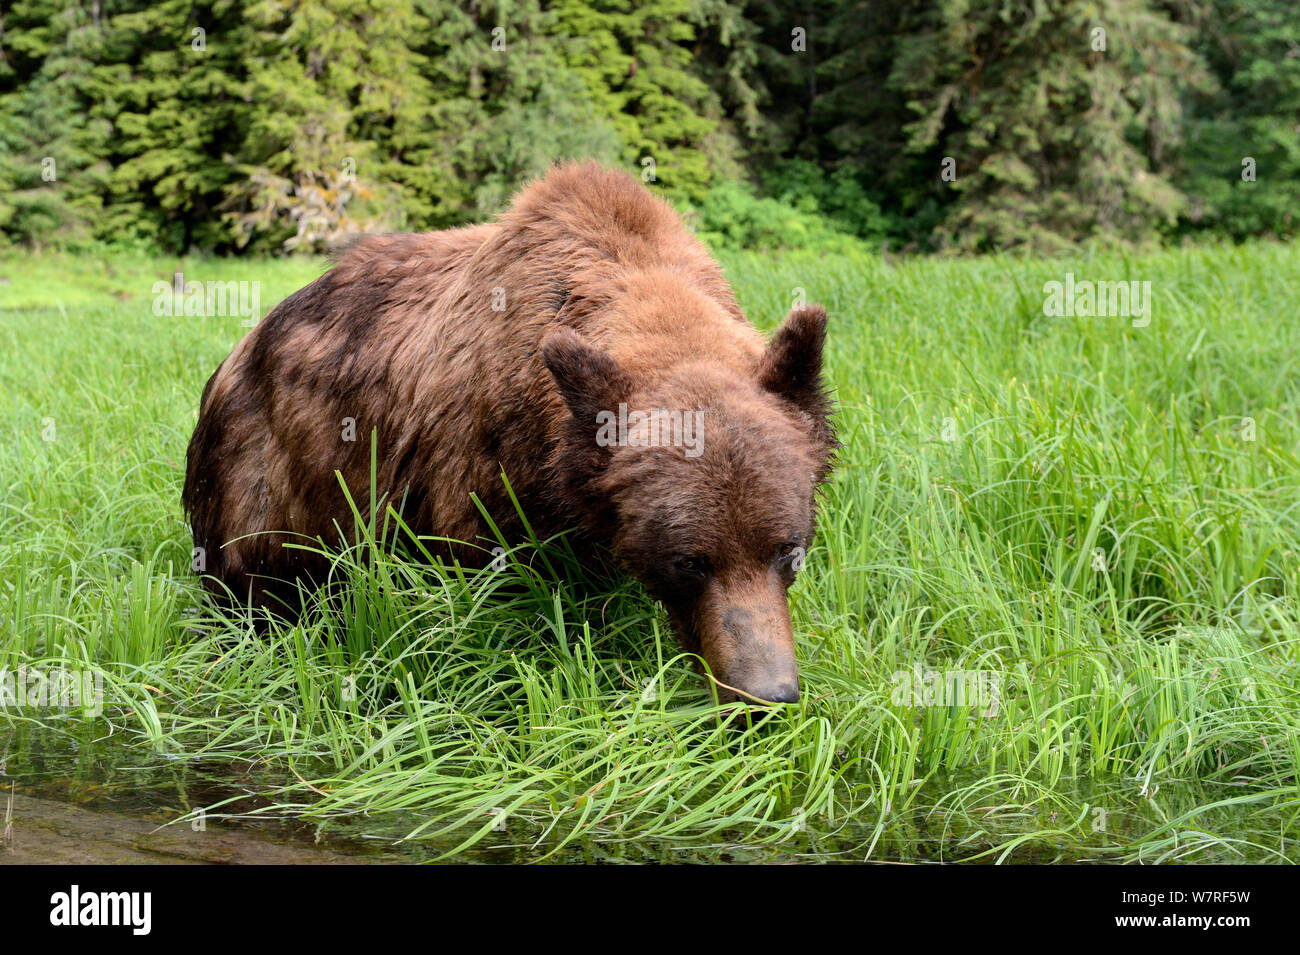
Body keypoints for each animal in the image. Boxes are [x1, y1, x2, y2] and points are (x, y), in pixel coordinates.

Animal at [183, 162, 836, 704]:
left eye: (788, 549)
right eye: (690, 561)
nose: (768, 693)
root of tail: (243, 343)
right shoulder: (474, 478)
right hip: (268, 474)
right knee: (258, 584)